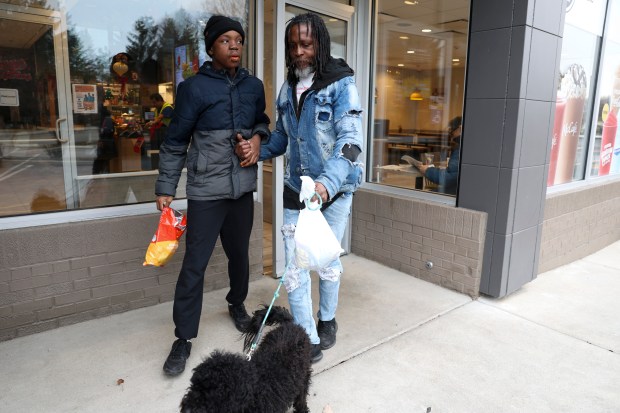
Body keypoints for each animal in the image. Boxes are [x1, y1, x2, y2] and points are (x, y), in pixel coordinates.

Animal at [182, 304, 312, 410]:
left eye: (217, 393)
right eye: (194, 385)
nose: (187, 410)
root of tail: (290, 324)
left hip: (304, 376)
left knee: (301, 397)